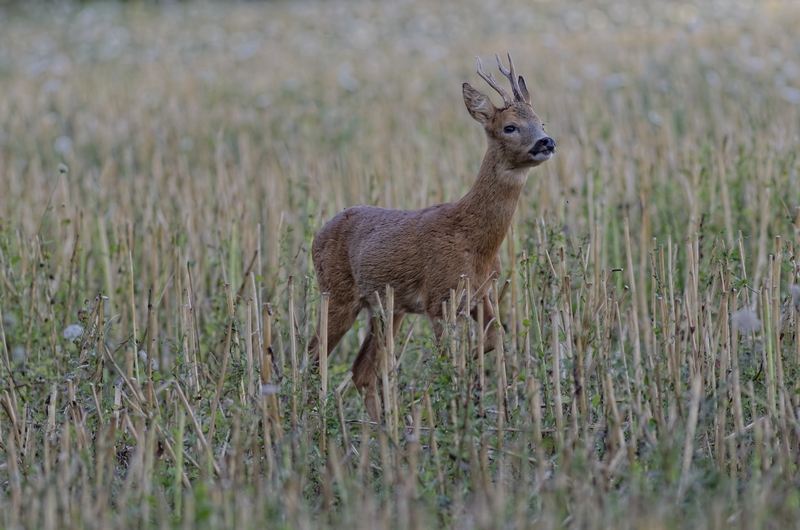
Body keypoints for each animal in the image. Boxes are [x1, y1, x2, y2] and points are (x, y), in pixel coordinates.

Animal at [310, 53, 552, 416]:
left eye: (542, 122)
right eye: (509, 126)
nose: (546, 142)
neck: (473, 241)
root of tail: (316, 235)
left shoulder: (482, 293)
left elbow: (494, 338)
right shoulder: (440, 298)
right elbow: (448, 356)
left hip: (385, 307)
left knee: (360, 370)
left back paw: (379, 423)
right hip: (337, 294)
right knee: (314, 354)